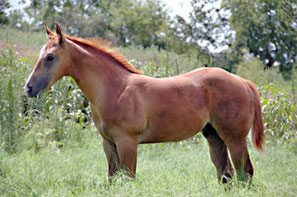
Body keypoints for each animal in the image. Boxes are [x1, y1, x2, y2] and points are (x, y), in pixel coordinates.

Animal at [23, 23, 264, 183]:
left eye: (50, 57)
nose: (28, 88)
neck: (115, 89)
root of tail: (242, 82)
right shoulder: (108, 144)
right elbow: (113, 179)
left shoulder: (127, 142)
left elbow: (129, 178)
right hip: (214, 135)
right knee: (226, 174)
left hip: (234, 138)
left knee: (245, 172)